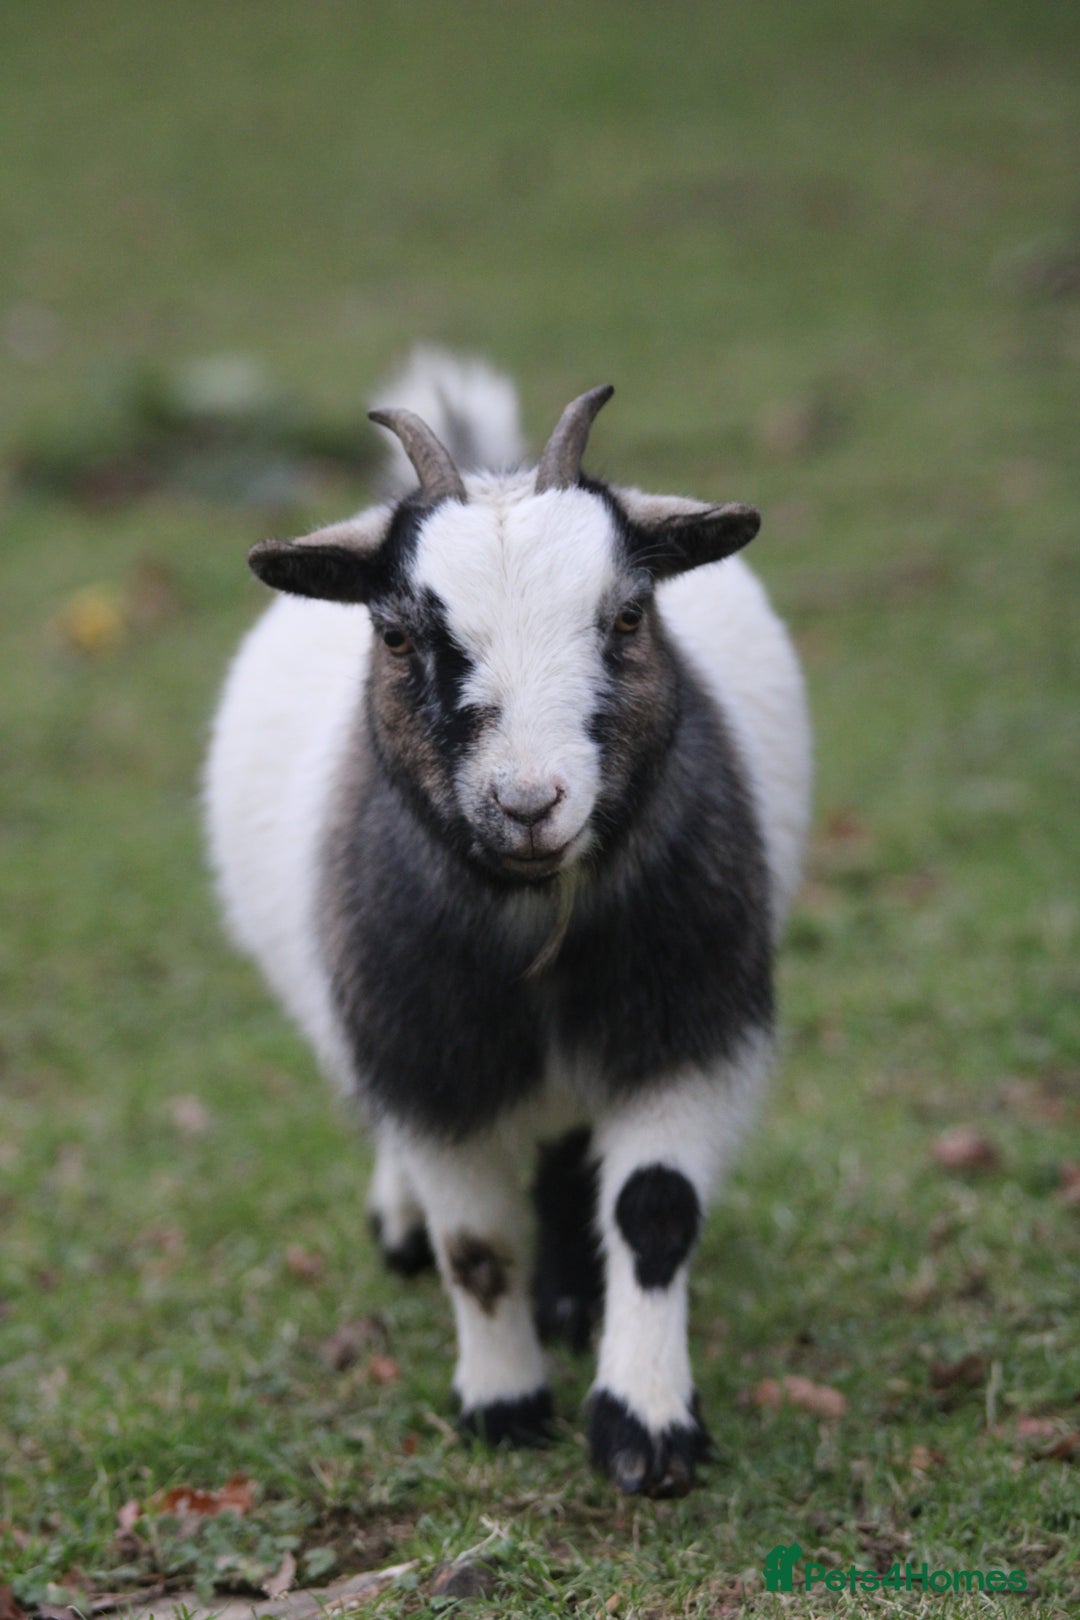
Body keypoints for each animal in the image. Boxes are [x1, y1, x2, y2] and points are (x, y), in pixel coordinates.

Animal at [204, 352, 812, 1496]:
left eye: (628, 618)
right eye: (397, 632)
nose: (529, 803)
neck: (538, 920)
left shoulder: (683, 1029)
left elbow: (654, 1211)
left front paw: (645, 1427)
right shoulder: (429, 1057)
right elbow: (476, 1243)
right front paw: (503, 1405)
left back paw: (573, 1299)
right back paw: (404, 1228)